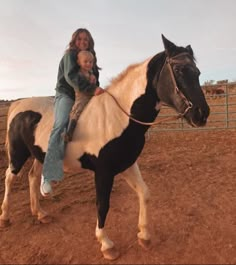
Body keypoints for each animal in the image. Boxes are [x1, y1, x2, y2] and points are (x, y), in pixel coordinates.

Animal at [0, 34, 210, 258]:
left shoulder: (127, 164)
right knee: (10, 177)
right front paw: (106, 244)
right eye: (179, 70)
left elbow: (144, 193)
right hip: (18, 155)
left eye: (197, 72)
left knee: (32, 177)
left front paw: (144, 235)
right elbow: (102, 204)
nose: (202, 113)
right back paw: (5, 217)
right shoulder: (103, 171)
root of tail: (18, 104)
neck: (118, 116)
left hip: (39, 154)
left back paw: (40, 213)